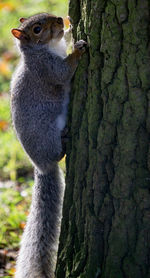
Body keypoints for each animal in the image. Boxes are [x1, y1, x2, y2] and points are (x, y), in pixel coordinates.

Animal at [10, 12, 86, 278]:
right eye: (37, 29)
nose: (59, 20)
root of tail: (41, 166)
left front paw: (70, 25)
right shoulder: (46, 69)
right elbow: (62, 73)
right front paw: (78, 50)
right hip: (48, 136)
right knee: (57, 153)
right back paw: (64, 140)